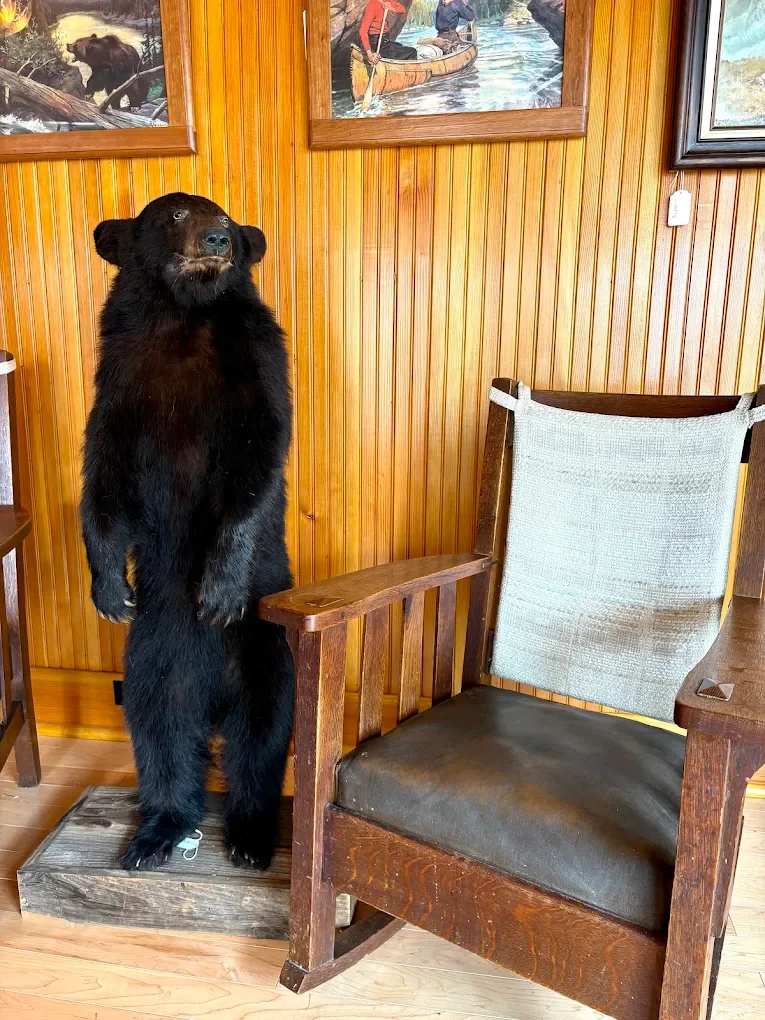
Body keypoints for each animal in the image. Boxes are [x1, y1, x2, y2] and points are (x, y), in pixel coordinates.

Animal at [80, 193, 294, 872]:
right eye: (176, 213)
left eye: (224, 215)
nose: (219, 239)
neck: (182, 321)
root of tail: (212, 700)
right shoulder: (119, 380)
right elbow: (103, 477)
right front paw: (109, 591)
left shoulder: (254, 358)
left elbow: (259, 452)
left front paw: (219, 588)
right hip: (154, 657)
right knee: (161, 734)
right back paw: (158, 832)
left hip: (261, 645)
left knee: (262, 733)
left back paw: (251, 834)